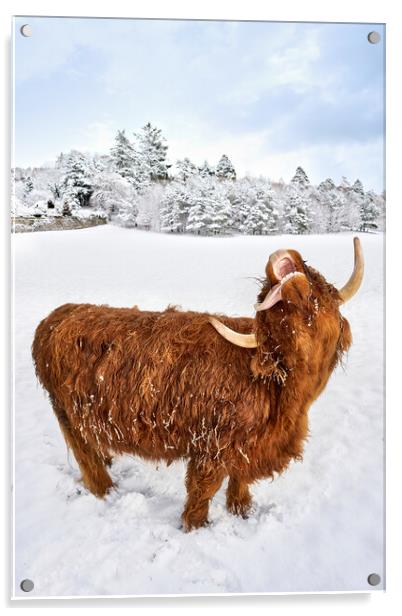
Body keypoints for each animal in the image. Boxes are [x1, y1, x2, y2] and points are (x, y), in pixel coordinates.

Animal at [32, 238, 364, 532]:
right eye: (270, 311)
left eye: (316, 279)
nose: (279, 257)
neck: (284, 395)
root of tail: (55, 316)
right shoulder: (211, 446)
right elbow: (202, 489)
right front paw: (195, 526)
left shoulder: (247, 445)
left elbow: (240, 478)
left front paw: (242, 508)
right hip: (66, 413)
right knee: (84, 456)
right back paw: (106, 490)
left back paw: (109, 459)